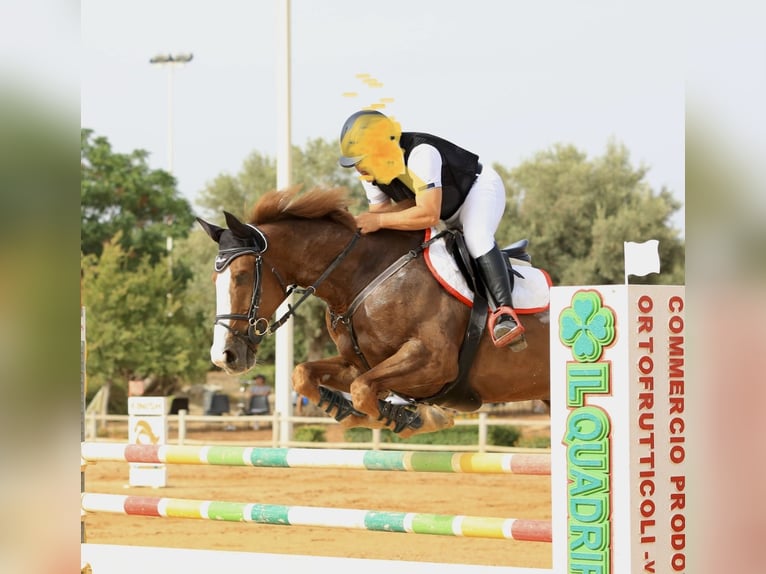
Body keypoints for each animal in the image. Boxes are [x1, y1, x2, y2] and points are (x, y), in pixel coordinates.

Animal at [195, 187, 548, 438]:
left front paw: (414, 418)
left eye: (241, 276)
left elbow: (363, 391)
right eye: (213, 279)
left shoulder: (434, 361)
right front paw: (340, 408)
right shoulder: (359, 362)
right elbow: (305, 375)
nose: (223, 356)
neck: (362, 276)